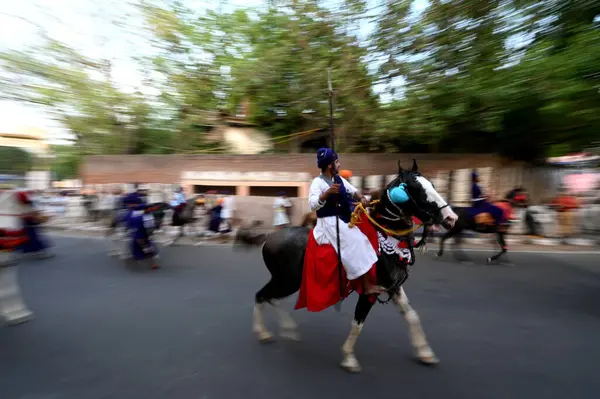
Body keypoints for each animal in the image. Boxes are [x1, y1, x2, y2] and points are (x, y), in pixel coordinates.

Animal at [237, 161, 458, 374]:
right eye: (416, 189)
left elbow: (412, 316)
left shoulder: (394, 288)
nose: (451, 218)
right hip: (286, 280)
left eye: (432, 185)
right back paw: (263, 333)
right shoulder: (370, 291)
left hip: (289, 281)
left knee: (271, 298)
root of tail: (269, 236)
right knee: (262, 295)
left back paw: (288, 330)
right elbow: (358, 323)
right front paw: (349, 358)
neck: (386, 241)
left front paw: (425, 353)